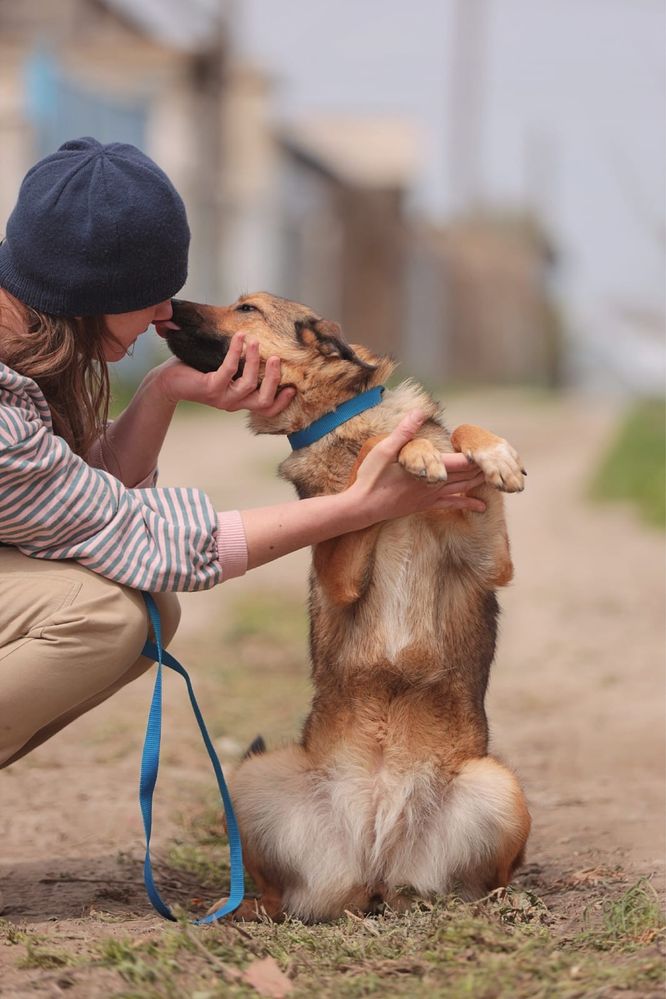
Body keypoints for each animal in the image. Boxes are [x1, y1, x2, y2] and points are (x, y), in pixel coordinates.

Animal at [162, 292, 528, 924]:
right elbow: (370, 468)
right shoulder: (338, 572)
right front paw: (408, 453)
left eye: (245, 307)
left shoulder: (490, 560)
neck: (343, 423)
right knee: (277, 892)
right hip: (253, 776)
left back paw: (509, 903)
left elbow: (458, 433)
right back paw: (237, 907)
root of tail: (376, 859)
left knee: (491, 880)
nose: (172, 303)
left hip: (500, 786)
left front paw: (489, 454)